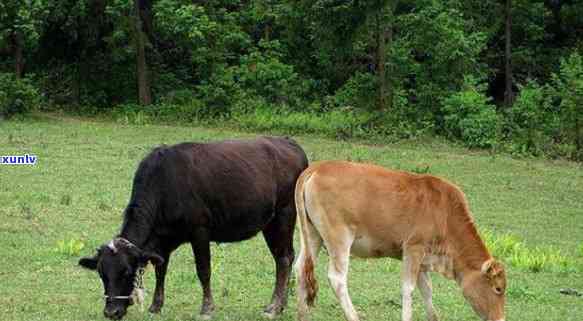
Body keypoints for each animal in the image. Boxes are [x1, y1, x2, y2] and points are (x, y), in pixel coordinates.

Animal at [80, 136, 312, 318]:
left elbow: (203, 270)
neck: (164, 185)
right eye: (101, 273)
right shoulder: (163, 239)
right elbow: (160, 269)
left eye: (127, 272)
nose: (111, 312)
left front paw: (207, 308)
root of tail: (289, 142)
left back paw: (274, 307)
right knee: (284, 257)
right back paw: (281, 304)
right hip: (271, 222)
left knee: (284, 258)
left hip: (284, 215)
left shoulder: (200, 230)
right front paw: (156, 305)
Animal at [296, 161, 506, 320]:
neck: (445, 215)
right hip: (339, 237)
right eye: (498, 288)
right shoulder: (413, 248)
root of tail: (318, 167)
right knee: (337, 278)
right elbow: (408, 289)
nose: (500, 319)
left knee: (300, 269)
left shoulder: (423, 259)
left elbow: (427, 290)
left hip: (313, 235)